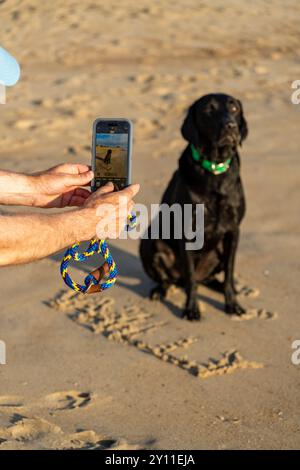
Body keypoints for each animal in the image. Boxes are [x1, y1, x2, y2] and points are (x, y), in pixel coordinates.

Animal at [139, 92, 247, 320]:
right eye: (208, 110)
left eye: (234, 108)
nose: (230, 126)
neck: (214, 169)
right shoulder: (188, 233)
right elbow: (190, 278)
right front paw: (191, 309)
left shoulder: (233, 231)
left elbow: (230, 272)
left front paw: (232, 304)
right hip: (150, 243)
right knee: (175, 280)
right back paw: (159, 291)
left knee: (211, 278)